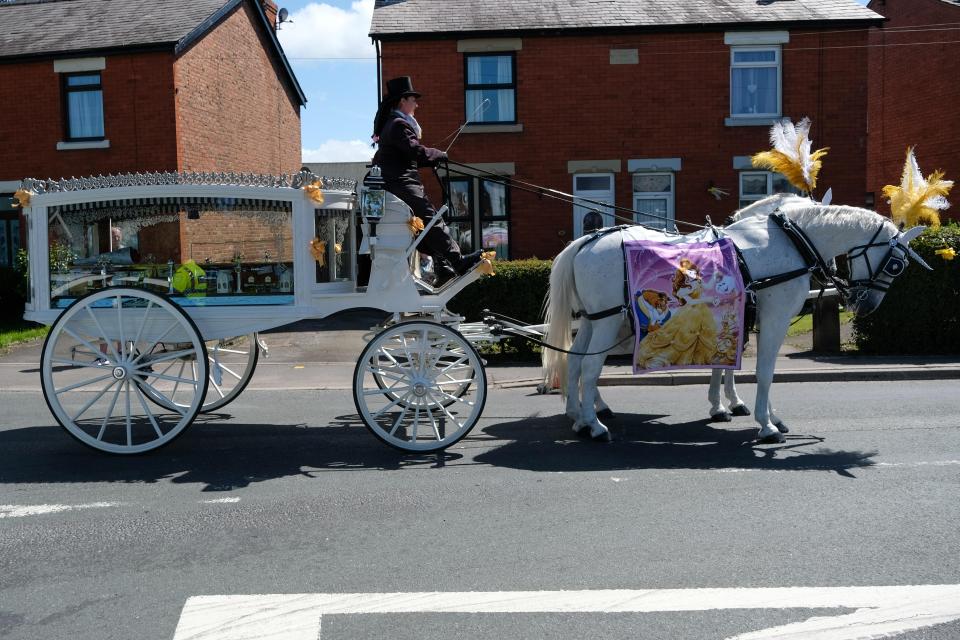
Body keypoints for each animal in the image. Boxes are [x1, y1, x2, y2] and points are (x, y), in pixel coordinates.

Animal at [548, 194, 928, 444]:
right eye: (896, 265)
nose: (865, 305)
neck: (790, 241)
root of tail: (586, 241)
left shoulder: (744, 316)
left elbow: (733, 363)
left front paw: (746, 409)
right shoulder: (772, 316)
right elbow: (764, 370)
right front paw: (765, 423)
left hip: (596, 320)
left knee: (576, 363)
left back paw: (580, 417)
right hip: (609, 321)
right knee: (590, 367)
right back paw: (594, 424)